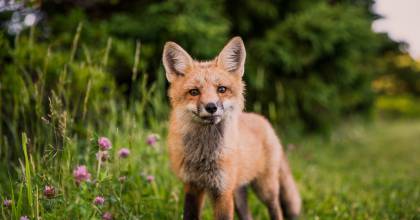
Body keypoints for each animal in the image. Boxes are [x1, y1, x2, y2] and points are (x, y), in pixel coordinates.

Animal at [162, 37, 302, 219]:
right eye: (194, 92)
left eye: (221, 89)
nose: (211, 107)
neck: (204, 154)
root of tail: (263, 120)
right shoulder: (192, 186)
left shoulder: (223, 191)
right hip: (239, 194)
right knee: (248, 216)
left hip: (265, 188)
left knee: (277, 210)